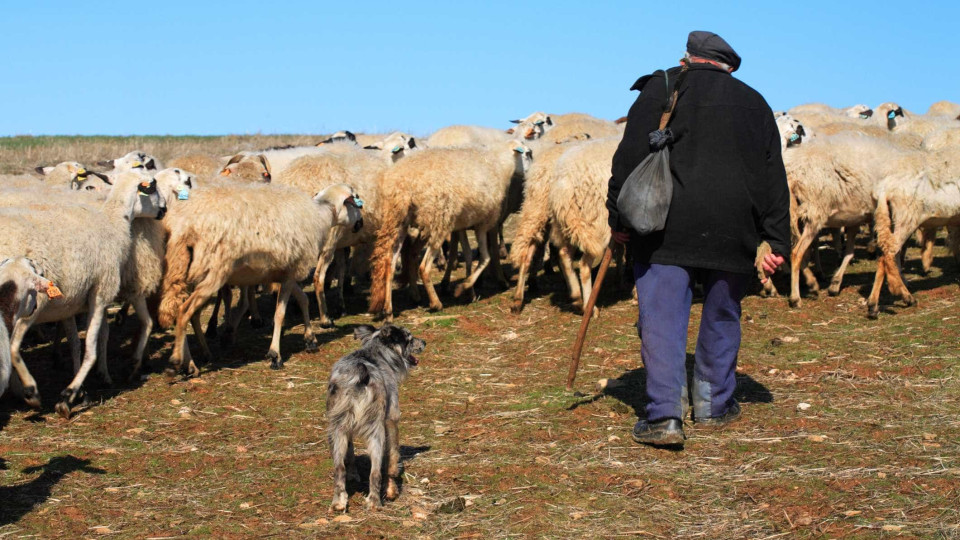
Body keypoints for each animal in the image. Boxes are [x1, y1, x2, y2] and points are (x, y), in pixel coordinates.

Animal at [0, 171, 167, 416]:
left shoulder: (70, 302)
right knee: (12, 346)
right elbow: (90, 349)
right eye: (153, 186)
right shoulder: (100, 295)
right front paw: (69, 395)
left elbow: (75, 344)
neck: (113, 221)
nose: (164, 209)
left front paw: (81, 390)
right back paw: (30, 392)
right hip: (31, 301)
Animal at [159, 181, 362, 376]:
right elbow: (279, 314)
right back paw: (180, 361)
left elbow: (303, 299)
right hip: (213, 274)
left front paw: (310, 339)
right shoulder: (290, 274)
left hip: (189, 275)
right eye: (357, 200)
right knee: (184, 312)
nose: (361, 223)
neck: (321, 216)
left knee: (190, 314)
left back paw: (200, 357)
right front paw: (275, 355)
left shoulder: (285, 272)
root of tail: (182, 226)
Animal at [326, 322, 424, 512]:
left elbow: (350, 455)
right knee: (375, 472)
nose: (424, 342)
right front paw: (392, 491)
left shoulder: (346, 429)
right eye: (409, 338)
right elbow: (392, 460)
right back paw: (375, 503)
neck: (376, 354)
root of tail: (359, 373)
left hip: (337, 430)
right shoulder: (391, 419)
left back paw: (339, 503)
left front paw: (353, 475)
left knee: (339, 468)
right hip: (375, 432)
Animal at [368, 138, 532, 320]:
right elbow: (485, 258)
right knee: (424, 267)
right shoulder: (483, 223)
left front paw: (470, 292)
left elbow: (468, 255)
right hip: (438, 220)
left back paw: (389, 310)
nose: (531, 172)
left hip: (400, 220)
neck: (499, 165)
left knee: (390, 263)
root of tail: (402, 183)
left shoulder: (462, 225)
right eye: (528, 153)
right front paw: (463, 287)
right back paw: (435, 303)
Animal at [868, 152, 960, 318]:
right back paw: (904, 294)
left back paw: (873, 305)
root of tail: (884, 191)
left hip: (886, 218)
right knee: (889, 253)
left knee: (884, 255)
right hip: (906, 218)